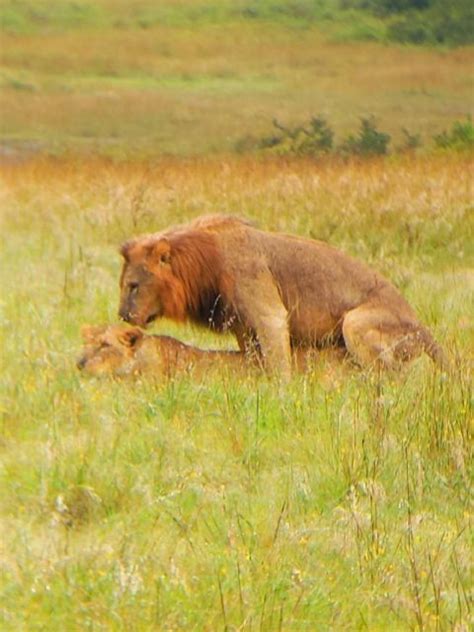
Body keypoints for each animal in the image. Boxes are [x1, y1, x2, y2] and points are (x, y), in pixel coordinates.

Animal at [116, 215, 442, 378]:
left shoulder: (269, 314)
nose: (122, 316)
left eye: (133, 285)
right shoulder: (243, 327)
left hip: (356, 323)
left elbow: (278, 364)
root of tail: (423, 328)